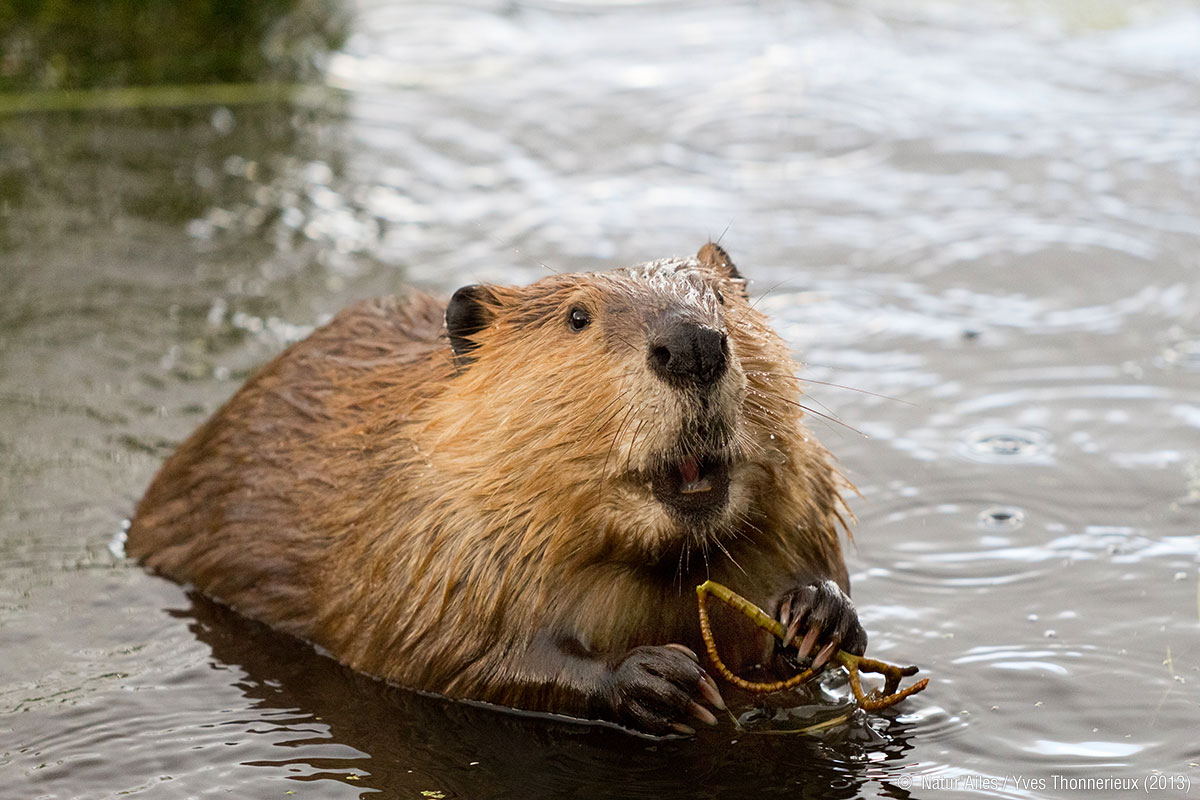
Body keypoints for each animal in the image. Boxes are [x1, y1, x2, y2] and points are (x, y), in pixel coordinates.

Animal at [129, 242, 864, 734]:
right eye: (577, 317)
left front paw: (817, 614)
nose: (691, 346)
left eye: (720, 299)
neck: (664, 569)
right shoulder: (430, 540)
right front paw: (660, 679)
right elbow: (445, 656)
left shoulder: (805, 507)